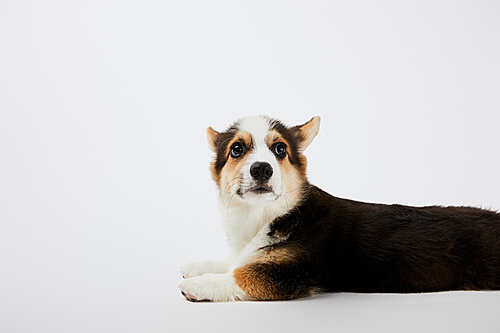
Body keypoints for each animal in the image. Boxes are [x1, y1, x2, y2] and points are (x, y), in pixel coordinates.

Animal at [179, 115, 500, 300]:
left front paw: (201, 284)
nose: (261, 169)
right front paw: (197, 267)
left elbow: (242, 273)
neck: (265, 215)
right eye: (236, 149)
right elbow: (235, 261)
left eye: (280, 149)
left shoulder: (293, 272)